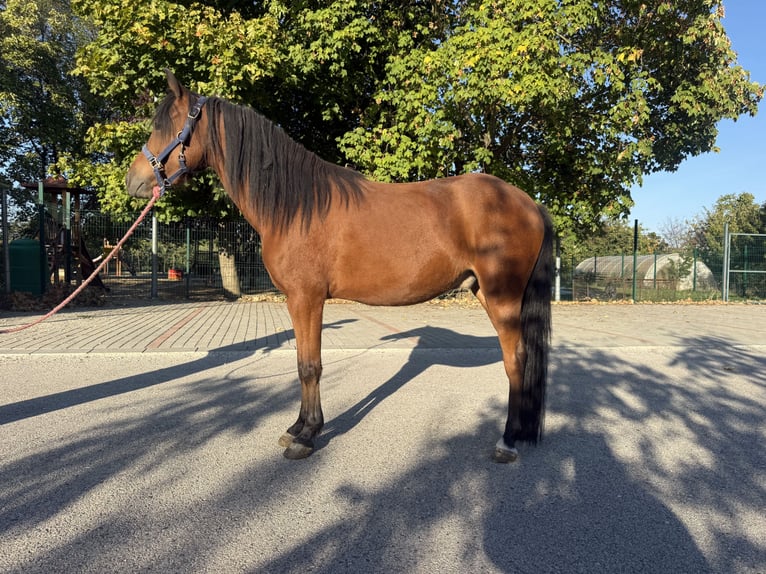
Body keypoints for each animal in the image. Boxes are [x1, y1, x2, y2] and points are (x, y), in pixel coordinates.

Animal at [126, 70, 553, 463]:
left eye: (167, 127)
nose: (134, 180)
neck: (296, 207)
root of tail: (529, 203)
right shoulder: (298, 301)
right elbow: (302, 362)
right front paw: (298, 427)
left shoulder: (307, 298)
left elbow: (310, 366)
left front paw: (306, 437)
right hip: (482, 291)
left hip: (502, 297)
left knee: (516, 360)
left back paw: (507, 442)